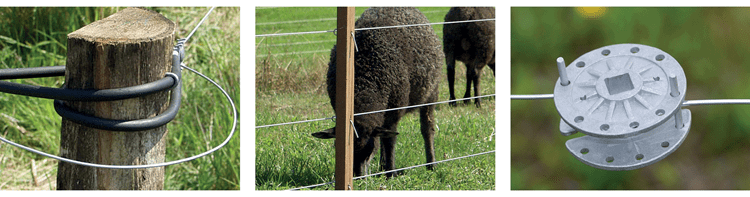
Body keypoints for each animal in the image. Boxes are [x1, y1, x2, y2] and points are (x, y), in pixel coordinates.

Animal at [312, 7, 446, 177]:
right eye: (338, 149)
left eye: (369, 149)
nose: (358, 176)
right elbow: (384, 137)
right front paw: (385, 168)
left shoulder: (395, 109)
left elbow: (390, 141)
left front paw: (390, 172)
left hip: (431, 92)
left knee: (427, 128)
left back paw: (431, 164)